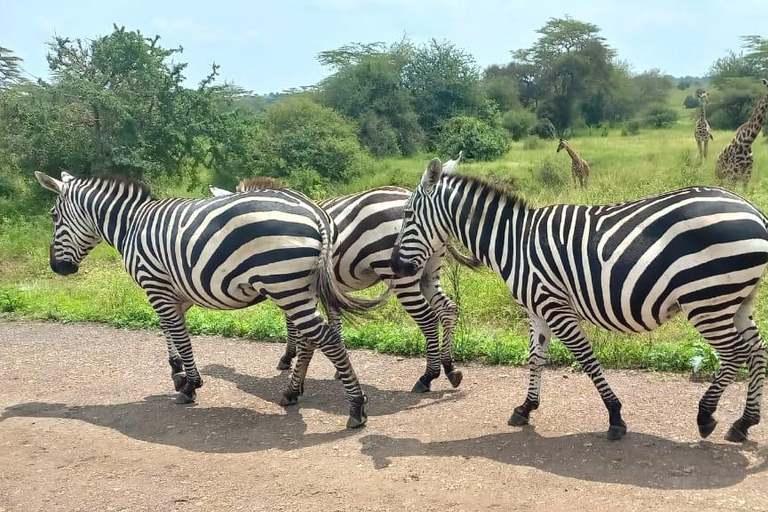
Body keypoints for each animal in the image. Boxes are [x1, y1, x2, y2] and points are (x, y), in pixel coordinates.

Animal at [34, 170, 390, 426]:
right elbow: (170, 331)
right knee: (310, 339)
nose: (58, 267)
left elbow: (178, 334)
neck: (132, 226)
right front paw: (176, 370)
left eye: (53, 216)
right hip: (301, 287)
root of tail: (315, 212)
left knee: (326, 338)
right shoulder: (176, 290)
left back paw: (356, 407)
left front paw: (190, 384)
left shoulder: (155, 285)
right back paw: (292, 392)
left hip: (285, 284)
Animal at [207, 152, 476, 392]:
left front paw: (288, 357)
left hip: (401, 275)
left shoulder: (287, 279)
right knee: (448, 309)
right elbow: (333, 321)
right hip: (427, 269)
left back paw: (428, 376)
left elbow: (293, 322)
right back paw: (450, 368)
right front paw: (337, 368)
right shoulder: (317, 287)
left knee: (428, 319)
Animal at [392, 158, 768, 442]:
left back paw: (706, 416)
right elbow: (536, 358)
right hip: (737, 300)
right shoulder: (537, 310)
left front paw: (615, 416)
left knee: (734, 352)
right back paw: (744, 423)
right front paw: (525, 408)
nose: (395, 266)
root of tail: (752, 210)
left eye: (407, 216)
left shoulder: (554, 305)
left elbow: (586, 359)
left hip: (707, 299)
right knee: (756, 349)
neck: (513, 242)